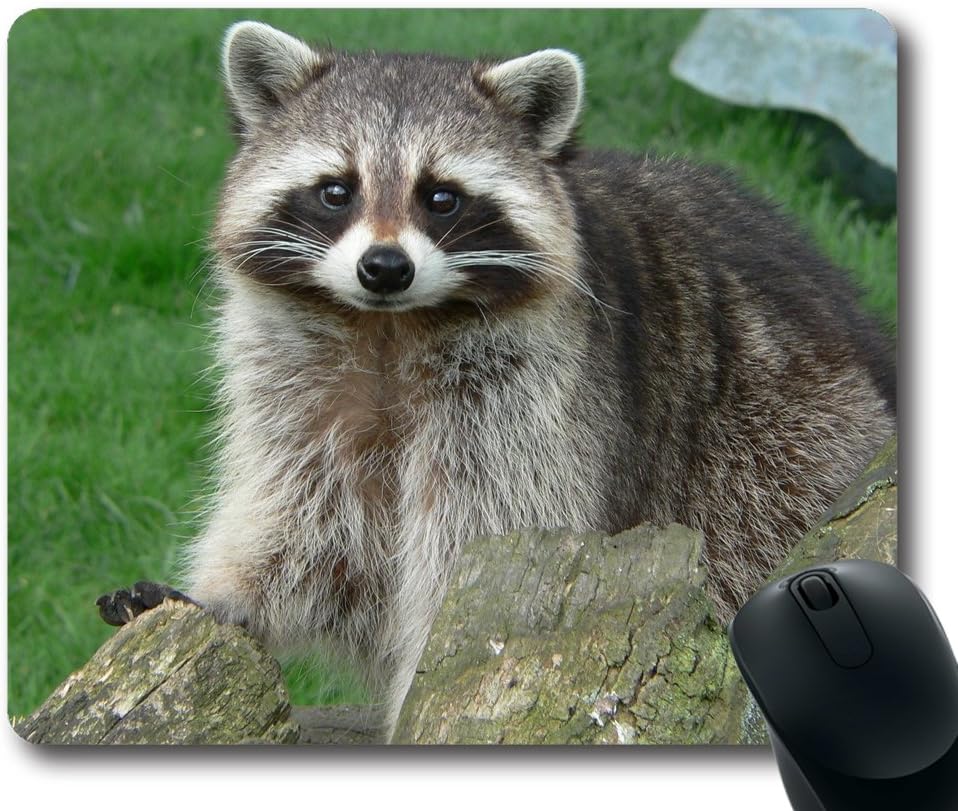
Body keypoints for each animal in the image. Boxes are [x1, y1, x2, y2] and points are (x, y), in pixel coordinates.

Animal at [104, 21, 896, 737]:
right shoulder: (298, 387)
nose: (384, 267)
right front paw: (225, 598)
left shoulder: (529, 401)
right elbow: (306, 524)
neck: (389, 328)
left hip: (781, 442)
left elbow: (479, 537)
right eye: (336, 191)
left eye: (441, 197)